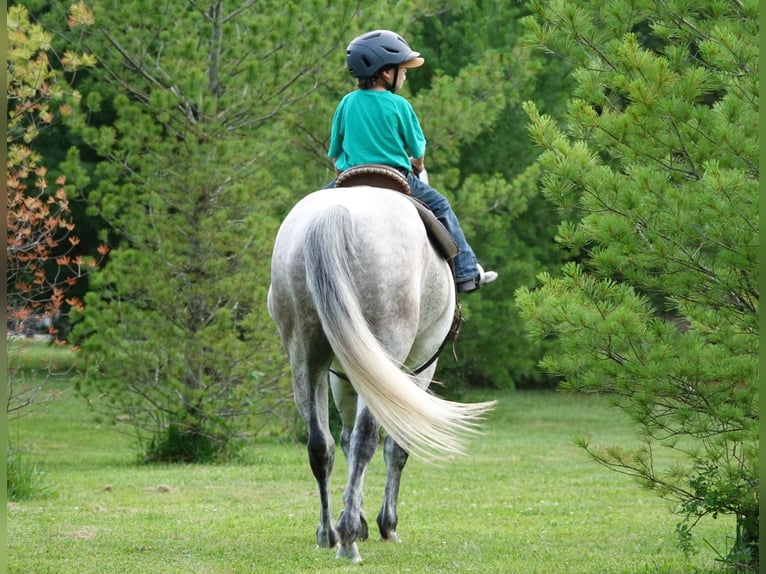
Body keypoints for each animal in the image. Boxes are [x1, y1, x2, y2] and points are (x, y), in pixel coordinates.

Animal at [267, 185, 496, 563]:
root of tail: (333, 216)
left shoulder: (344, 374)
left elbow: (343, 440)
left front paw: (356, 515)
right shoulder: (418, 368)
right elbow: (396, 446)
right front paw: (384, 523)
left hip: (305, 355)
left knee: (321, 444)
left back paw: (329, 533)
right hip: (388, 347)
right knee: (366, 439)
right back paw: (348, 540)